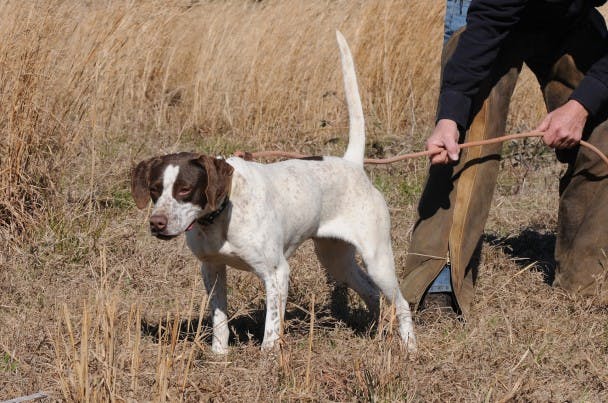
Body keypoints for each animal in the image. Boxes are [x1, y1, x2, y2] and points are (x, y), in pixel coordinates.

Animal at [131, 32, 416, 354]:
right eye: (154, 190)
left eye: (185, 189)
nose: (156, 223)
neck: (222, 214)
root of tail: (352, 164)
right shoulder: (212, 269)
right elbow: (219, 320)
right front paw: (219, 354)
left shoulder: (276, 272)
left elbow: (271, 327)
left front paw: (267, 358)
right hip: (335, 258)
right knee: (371, 291)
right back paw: (378, 333)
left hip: (377, 258)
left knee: (401, 301)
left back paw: (410, 347)